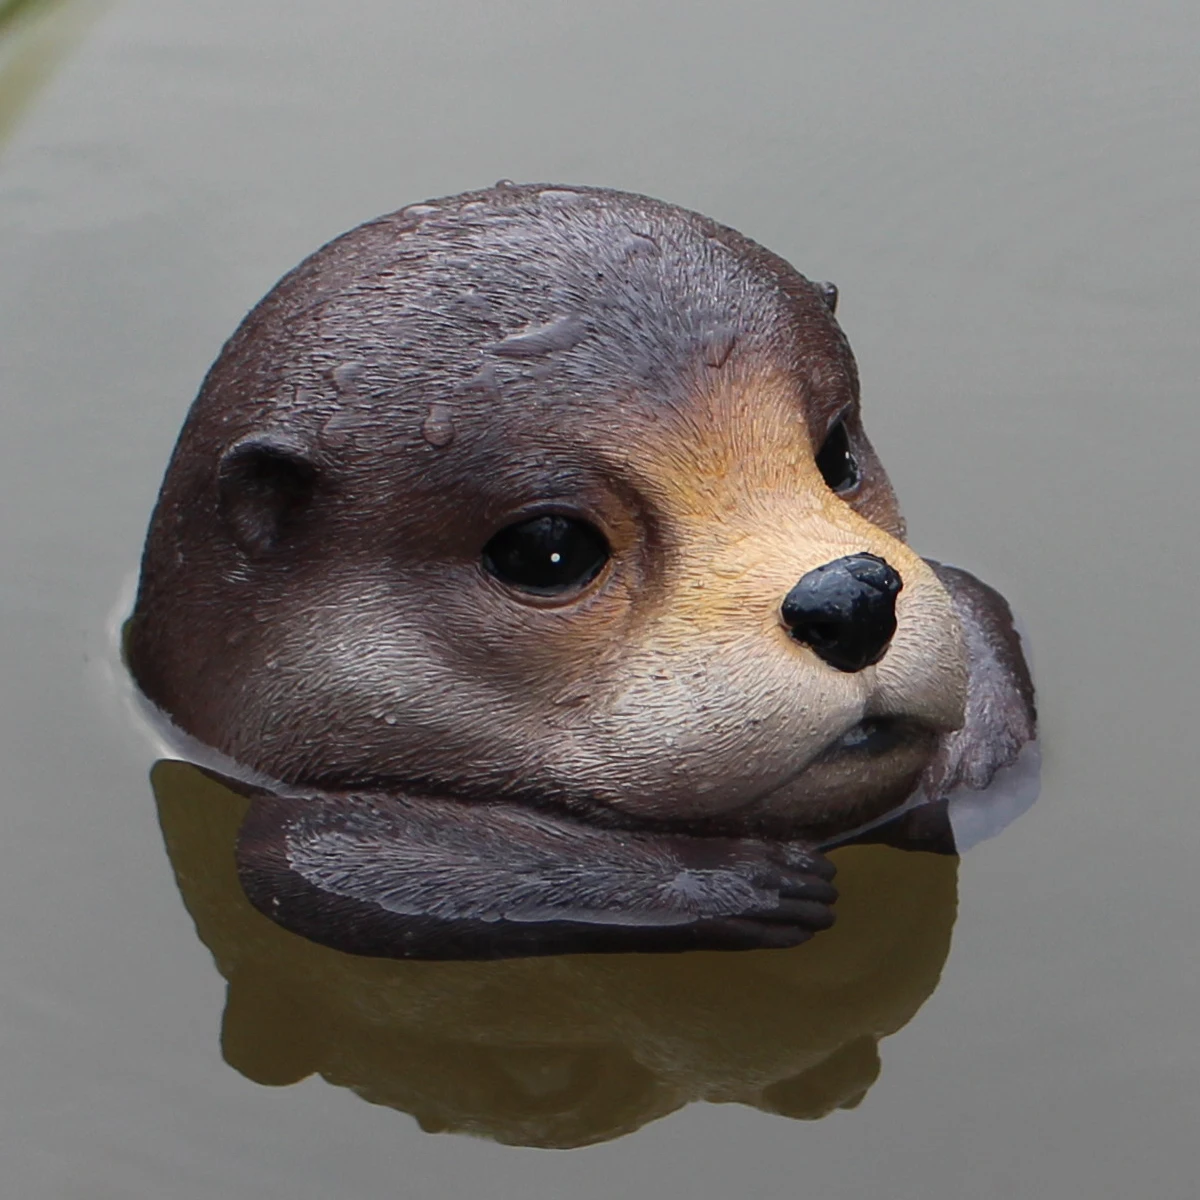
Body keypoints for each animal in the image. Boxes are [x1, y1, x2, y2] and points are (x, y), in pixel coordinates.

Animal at [127, 183, 1035, 958]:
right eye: (548, 550)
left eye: (837, 452)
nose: (849, 597)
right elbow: (302, 855)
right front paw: (728, 880)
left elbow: (980, 604)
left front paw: (961, 767)